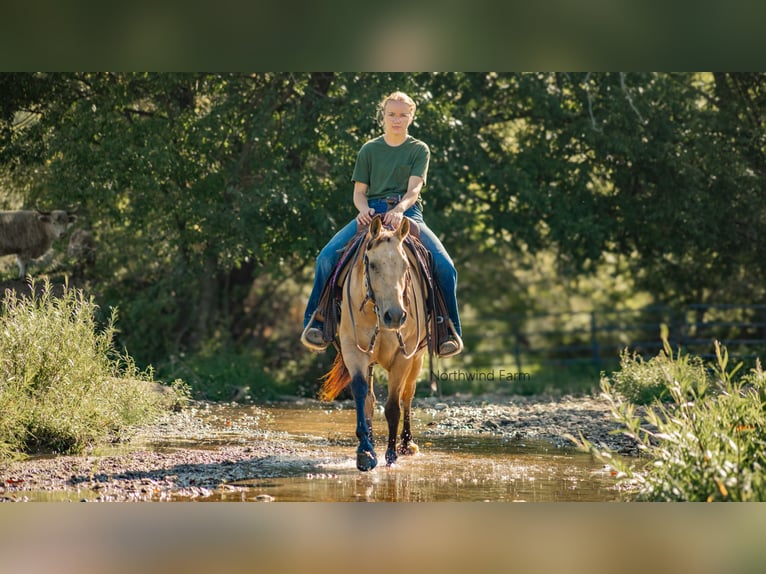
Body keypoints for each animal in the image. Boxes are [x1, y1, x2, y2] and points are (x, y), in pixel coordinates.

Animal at [320, 216, 432, 472]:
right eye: (372, 264)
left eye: (405, 266)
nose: (395, 316)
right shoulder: (354, 350)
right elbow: (362, 394)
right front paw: (365, 452)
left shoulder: (403, 356)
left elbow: (393, 405)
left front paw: (391, 455)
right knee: (371, 400)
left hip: (418, 358)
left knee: (408, 395)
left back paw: (407, 444)